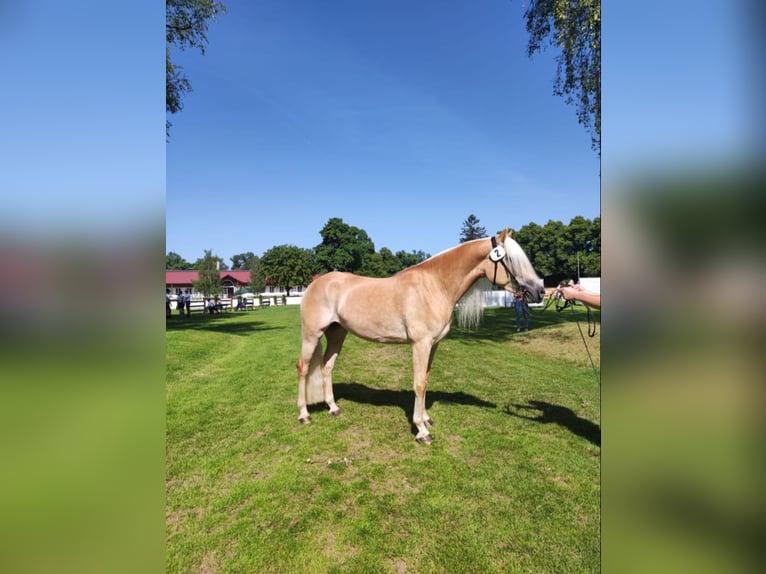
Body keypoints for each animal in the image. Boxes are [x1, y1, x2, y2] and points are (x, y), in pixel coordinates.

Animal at [295, 229, 545, 443]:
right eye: (511, 259)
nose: (539, 291)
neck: (434, 286)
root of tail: (314, 283)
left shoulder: (433, 345)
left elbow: (425, 380)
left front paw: (426, 419)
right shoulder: (420, 344)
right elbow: (418, 385)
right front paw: (421, 431)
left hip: (337, 334)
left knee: (327, 367)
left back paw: (333, 408)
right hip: (312, 335)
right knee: (303, 368)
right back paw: (304, 415)